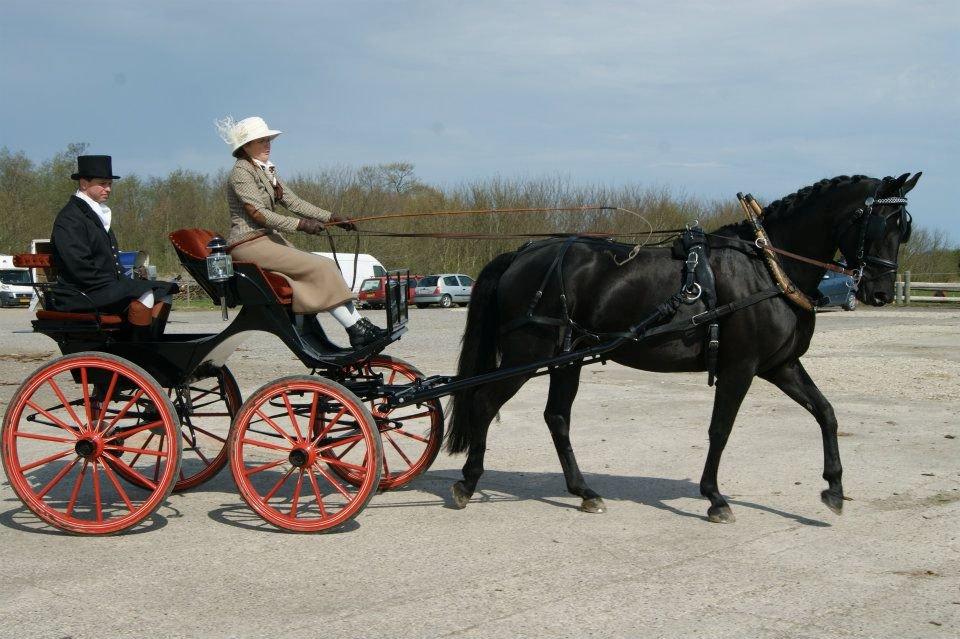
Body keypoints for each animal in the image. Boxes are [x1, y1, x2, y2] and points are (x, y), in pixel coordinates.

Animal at [446, 172, 920, 524]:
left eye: (905, 228)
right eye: (880, 223)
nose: (880, 292)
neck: (767, 268)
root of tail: (524, 252)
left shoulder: (780, 365)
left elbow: (826, 413)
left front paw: (834, 488)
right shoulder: (740, 367)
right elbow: (720, 429)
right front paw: (715, 498)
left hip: (567, 359)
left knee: (557, 417)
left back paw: (584, 491)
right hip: (529, 354)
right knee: (485, 402)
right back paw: (468, 482)